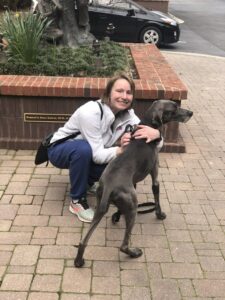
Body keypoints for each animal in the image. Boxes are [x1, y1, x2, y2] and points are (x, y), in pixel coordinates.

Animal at [74, 99, 192, 266]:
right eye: (174, 109)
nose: (191, 113)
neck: (146, 130)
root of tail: (109, 186)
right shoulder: (155, 173)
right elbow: (156, 193)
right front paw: (160, 214)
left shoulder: (134, 181)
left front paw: (117, 215)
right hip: (133, 206)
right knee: (123, 245)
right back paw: (134, 253)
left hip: (102, 206)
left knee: (83, 241)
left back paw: (79, 260)